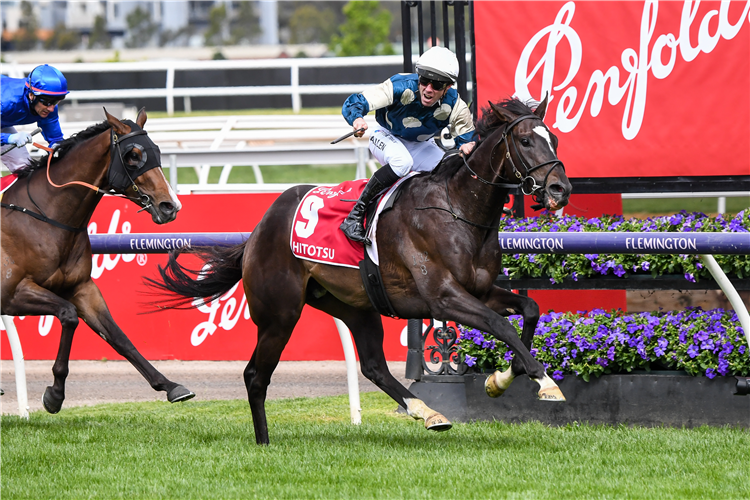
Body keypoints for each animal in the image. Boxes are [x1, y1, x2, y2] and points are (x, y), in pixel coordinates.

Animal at [0, 108, 194, 410]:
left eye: (157, 150)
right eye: (133, 155)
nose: (169, 206)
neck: (44, 217)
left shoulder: (82, 288)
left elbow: (118, 336)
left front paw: (170, 385)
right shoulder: (12, 294)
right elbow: (68, 316)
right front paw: (55, 394)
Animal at [150, 95, 572, 444]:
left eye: (552, 137)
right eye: (526, 141)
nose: (560, 189)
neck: (457, 209)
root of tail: (258, 230)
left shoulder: (480, 291)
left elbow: (530, 310)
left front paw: (501, 380)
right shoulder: (443, 298)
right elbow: (501, 325)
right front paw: (545, 382)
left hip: (356, 306)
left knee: (373, 366)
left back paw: (426, 411)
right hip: (279, 314)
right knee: (256, 375)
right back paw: (264, 442)